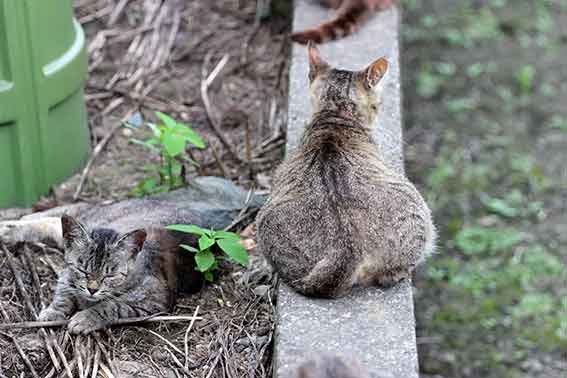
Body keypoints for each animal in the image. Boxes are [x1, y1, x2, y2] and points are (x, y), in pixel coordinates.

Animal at [39, 216, 200, 334]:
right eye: (83, 270)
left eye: (110, 275)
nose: (92, 289)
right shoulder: (65, 275)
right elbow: (63, 292)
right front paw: (53, 310)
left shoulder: (154, 300)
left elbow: (111, 305)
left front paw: (85, 317)